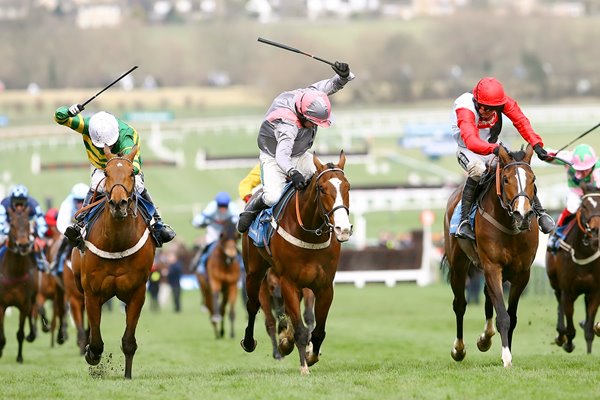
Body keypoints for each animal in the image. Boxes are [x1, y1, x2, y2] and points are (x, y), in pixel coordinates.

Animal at [70, 145, 156, 380]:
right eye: (107, 174)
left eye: (132, 174)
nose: (118, 204)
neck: (117, 242)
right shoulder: (92, 292)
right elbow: (96, 341)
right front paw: (91, 353)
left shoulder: (137, 293)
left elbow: (128, 341)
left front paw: (127, 375)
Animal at [239, 152, 352, 374]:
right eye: (322, 188)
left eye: (348, 187)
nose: (343, 229)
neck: (309, 235)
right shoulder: (288, 282)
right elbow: (300, 329)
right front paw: (303, 367)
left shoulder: (324, 286)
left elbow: (317, 330)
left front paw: (310, 355)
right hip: (254, 272)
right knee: (253, 305)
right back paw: (250, 341)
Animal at [442, 145, 540, 368]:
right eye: (506, 179)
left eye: (533, 179)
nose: (523, 215)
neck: (511, 227)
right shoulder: (492, 266)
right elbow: (503, 316)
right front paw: (506, 358)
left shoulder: (522, 274)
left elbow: (511, 316)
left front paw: (506, 350)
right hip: (459, 265)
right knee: (460, 304)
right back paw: (459, 349)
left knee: (487, 296)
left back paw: (485, 338)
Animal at [548, 184, 600, 354]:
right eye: (584, 206)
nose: (596, 231)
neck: (584, 252)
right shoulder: (568, 291)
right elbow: (569, 324)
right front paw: (568, 342)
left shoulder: (595, 291)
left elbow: (589, 329)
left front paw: (589, 353)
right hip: (555, 283)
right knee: (559, 303)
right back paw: (560, 334)